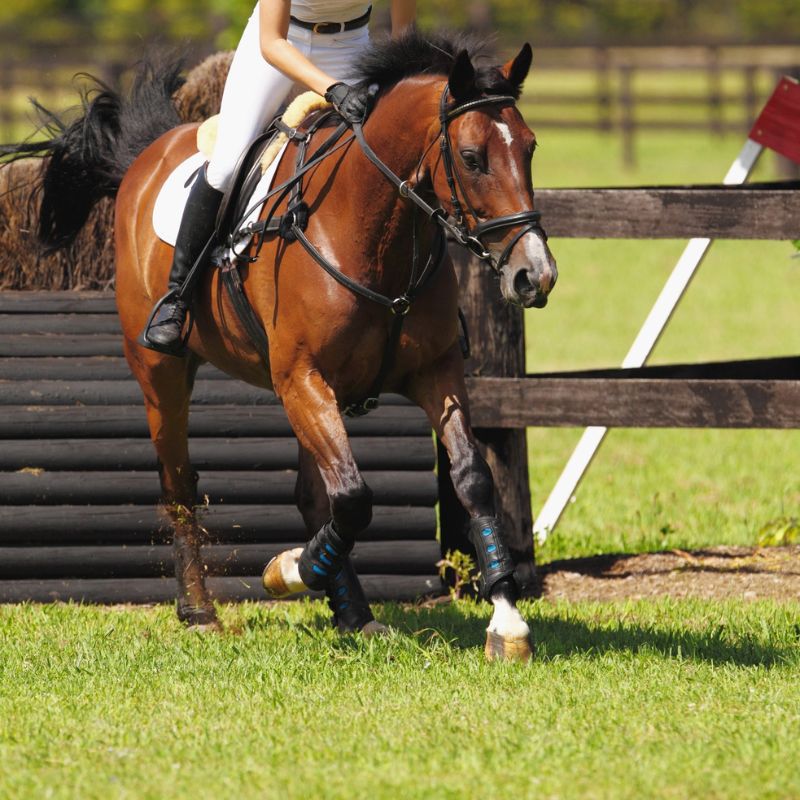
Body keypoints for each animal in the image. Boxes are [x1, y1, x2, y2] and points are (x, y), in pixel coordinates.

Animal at [14, 32, 557, 661]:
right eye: (471, 158)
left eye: (531, 149)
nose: (535, 277)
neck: (374, 227)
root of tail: (150, 153)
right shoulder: (302, 377)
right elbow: (354, 498)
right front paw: (289, 570)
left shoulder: (433, 373)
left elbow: (469, 479)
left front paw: (506, 621)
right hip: (162, 374)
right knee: (180, 484)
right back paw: (200, 611)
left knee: (315, 495)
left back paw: (353, 613)